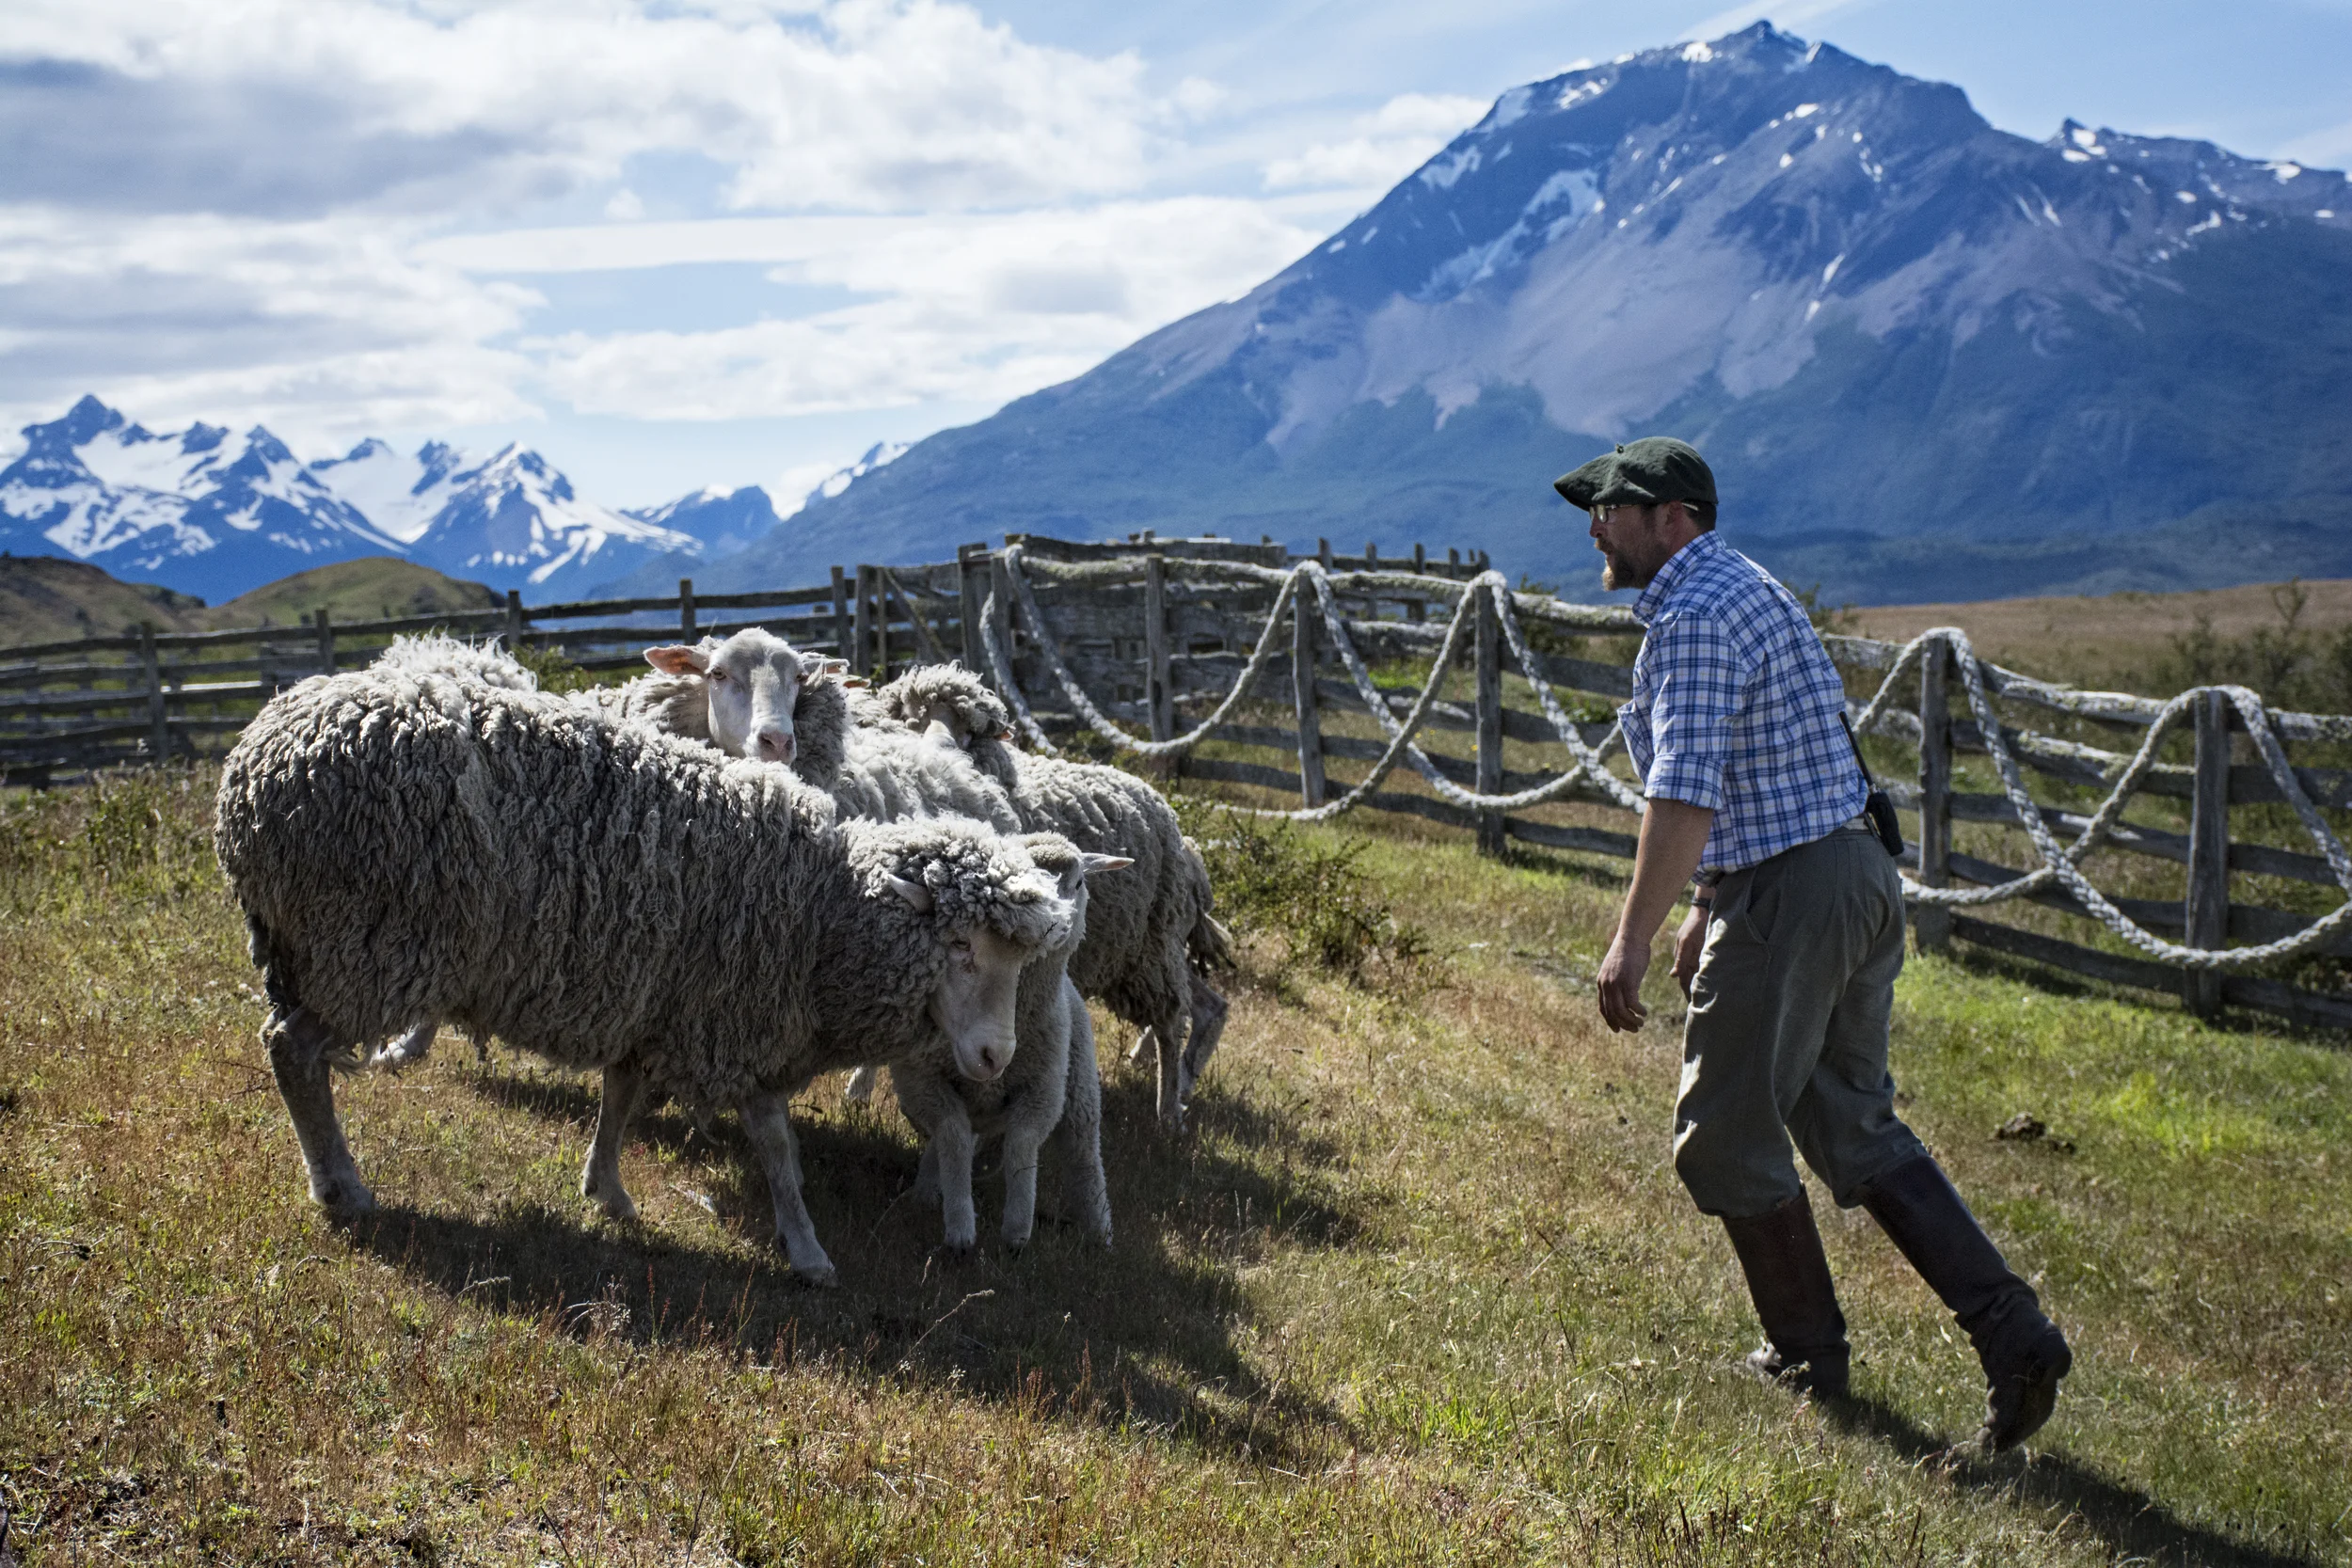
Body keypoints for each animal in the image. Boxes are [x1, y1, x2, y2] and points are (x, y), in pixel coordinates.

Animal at [214, 659, 1079, 1287]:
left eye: (1020, 959)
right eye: (961, 948)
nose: (996, 1056)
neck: (820, 906)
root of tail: (252, 765)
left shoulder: (657, 995)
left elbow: (620, 1094)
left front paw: (607, 1189)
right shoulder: (739, 1017)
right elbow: (777, 1150)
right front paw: (807, 1252)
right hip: (361, 945)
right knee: (292, 1052)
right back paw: (340, 1185)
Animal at [871, 664, 1234, 1130]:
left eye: (971, 733)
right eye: (907, 722)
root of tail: (1183, 838)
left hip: (1154, 945)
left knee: (1173, 1018)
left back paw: (1169, 1111)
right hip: (1140, 951)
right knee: (1205, 1005)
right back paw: (1174, 1078)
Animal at [889, 834, 1125, 1254]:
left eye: (1079, 881)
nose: (1056, 921)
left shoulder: (1043, 1091)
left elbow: (1021, 1146)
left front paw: (1017, 1231)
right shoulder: (924, 1084)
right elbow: (952, 1136)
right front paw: (960, 1226)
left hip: (1078, 1089)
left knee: (1083, 1155)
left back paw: (1100, 1233)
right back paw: (929, 1192)